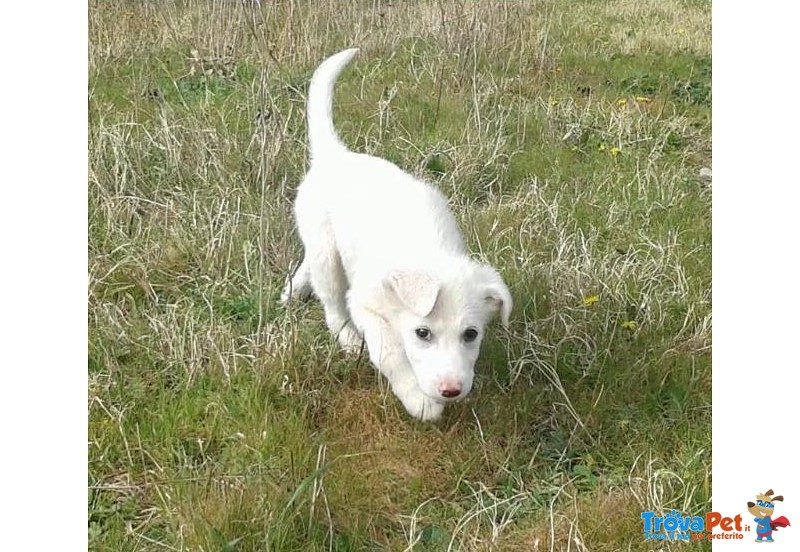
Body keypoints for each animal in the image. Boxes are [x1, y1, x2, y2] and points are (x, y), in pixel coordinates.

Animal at [282, 49, 512, 422]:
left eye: (471, 334)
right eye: (423, 333)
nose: (452, 390)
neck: (429, 251)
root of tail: (336, 155)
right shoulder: (365, 304)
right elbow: (390, 352)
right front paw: (419, 400)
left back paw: (292, 288)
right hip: (328, 255)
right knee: (331, 304)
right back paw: (347, 338)